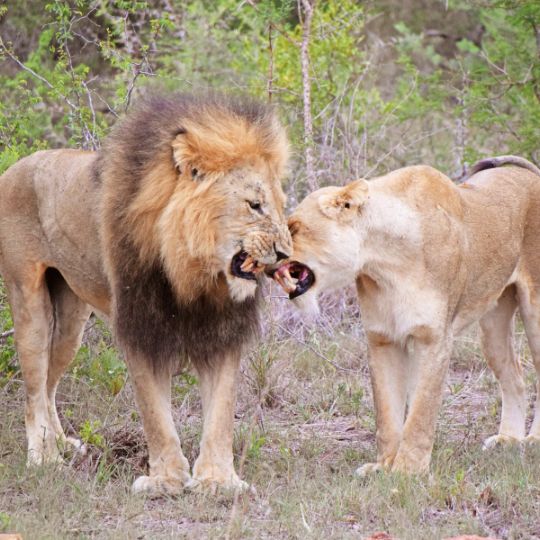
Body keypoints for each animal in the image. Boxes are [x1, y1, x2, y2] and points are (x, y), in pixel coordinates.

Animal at [0, 92, 292, 494]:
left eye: (279, 204)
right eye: (254, 204)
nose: (286, 253)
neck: (193, 272)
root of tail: (15, 166)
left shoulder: (221, 331)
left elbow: (221, 413)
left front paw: (218, 481)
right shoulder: (140, 328)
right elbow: (155, 414)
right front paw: (165, 480)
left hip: (71, 322)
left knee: (48, 384)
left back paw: (61, 443)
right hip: (29, 304)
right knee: (32, 390)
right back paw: (44, 458)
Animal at [274, 156, 540, 472]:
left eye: (294, 228)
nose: (263, 256)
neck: (383, 263)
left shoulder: (433, 340)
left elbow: (420, 413)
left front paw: (407, 470)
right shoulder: (382, 339)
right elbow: (388, 414)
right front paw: (383, 466)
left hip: (535, 314)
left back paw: (534, 440)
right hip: (493, 325)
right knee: (515, 375)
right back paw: (508, 439)